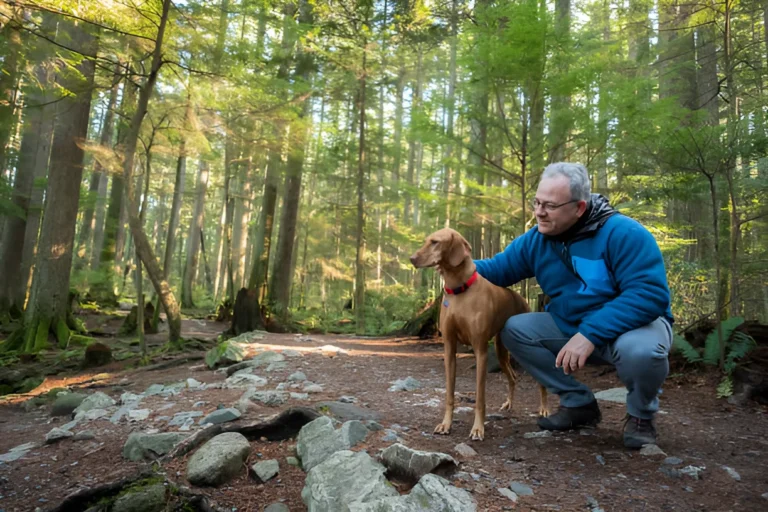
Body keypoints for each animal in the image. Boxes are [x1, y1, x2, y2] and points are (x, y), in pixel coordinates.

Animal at [412, 228, 548, 440]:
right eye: (427, 240)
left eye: (435, 242)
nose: (412, 258)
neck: (459, 291)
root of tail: (521, 299)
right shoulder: (449, 349)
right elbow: (449, 394)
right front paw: (446, 424)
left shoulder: (480, 351)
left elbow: (479, 398)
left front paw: (478, 428)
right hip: (501, 351)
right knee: (513, 377)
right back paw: (509, 403)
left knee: (540, 382)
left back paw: (544, 408)